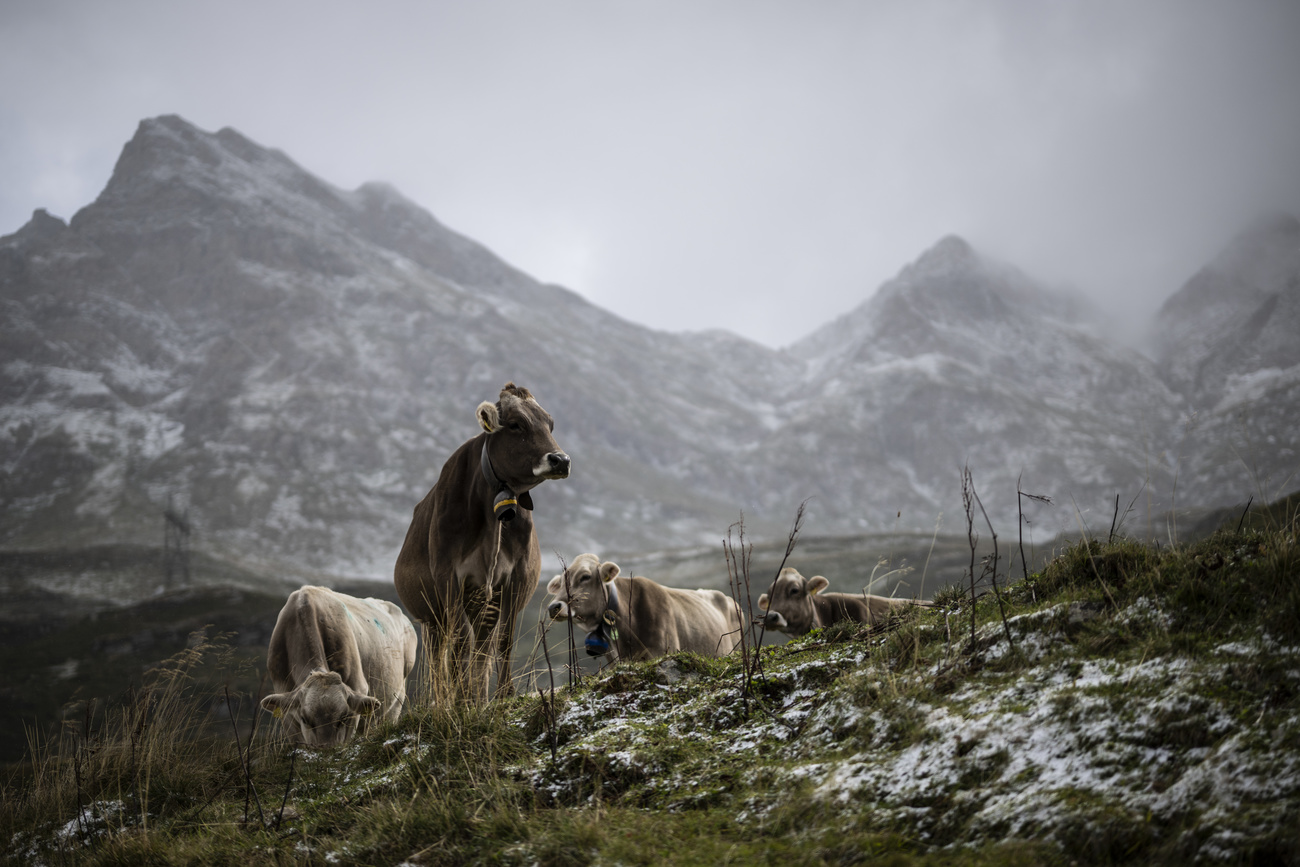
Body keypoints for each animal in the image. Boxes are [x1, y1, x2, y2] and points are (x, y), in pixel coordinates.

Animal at [256, 582, 413, 748]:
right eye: (304, 719)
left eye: (343, 718)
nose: (327, 749)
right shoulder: (285, 705)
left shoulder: (357, 693)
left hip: (397, 698)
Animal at [392, 382, 572, 701]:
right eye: (515, 424)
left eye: (549, 424)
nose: (561, 460)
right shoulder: (448, 576)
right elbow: (460, 641)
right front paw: (459, 700)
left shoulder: (516, 578)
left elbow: (504, 639)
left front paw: (503, 695)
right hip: (432, 619)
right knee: (442, 655)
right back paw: (445, 699)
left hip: (483, 608)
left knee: (482, 647)